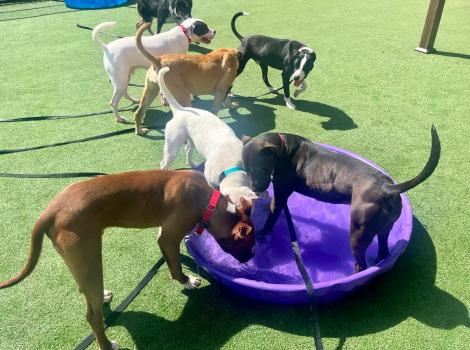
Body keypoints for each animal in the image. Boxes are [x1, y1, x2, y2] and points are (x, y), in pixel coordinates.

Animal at [0, 170, 255, 350]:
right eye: (248, 243)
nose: (251, 258)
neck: (210, 202)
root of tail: (51, 210)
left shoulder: (164, 235)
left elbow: (171, 259)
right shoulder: (169, 236)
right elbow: (174, 267)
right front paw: (187, 281)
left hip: (84, 265)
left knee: (88, 293)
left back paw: (103, 296)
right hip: (90, 257)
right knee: (93, 316)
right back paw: (107, 345)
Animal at [156, 67, 255, 204]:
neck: (232, 168)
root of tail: (180, 110)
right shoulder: (210, 179)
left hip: (192, 141)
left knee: (187, 150)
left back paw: (192, 165)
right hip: (172, 147)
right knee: (163, 163)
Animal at [242, 127, 440, 272]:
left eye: (258, 168)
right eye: (245, 168)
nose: (255, 188)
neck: (285, 148)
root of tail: (389, 188)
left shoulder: (280, 197)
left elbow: (270, 219)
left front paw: (262, 233)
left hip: (358, 232)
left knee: (361, 264)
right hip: (384, 228)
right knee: (383, 251)